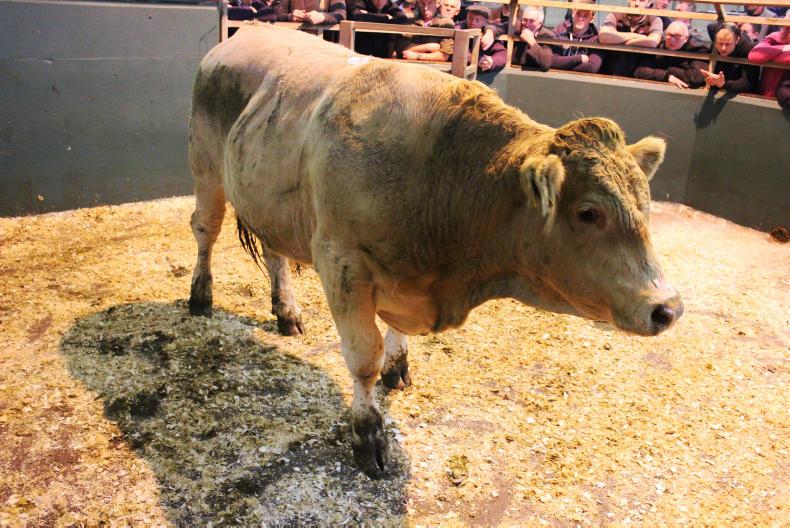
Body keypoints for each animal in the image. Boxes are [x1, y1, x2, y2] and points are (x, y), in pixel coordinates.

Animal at [187, 24, 683, 477]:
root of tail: (244, 33)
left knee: (274, 254)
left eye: (645, 204)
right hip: (206, 169)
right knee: (205, 231)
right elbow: (362, 359)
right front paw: (368, 435)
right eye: (588, 212)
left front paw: (398, 365)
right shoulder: (342, 262)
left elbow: (392, 338)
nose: (669, 308)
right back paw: (200, 297)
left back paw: (286, 311)